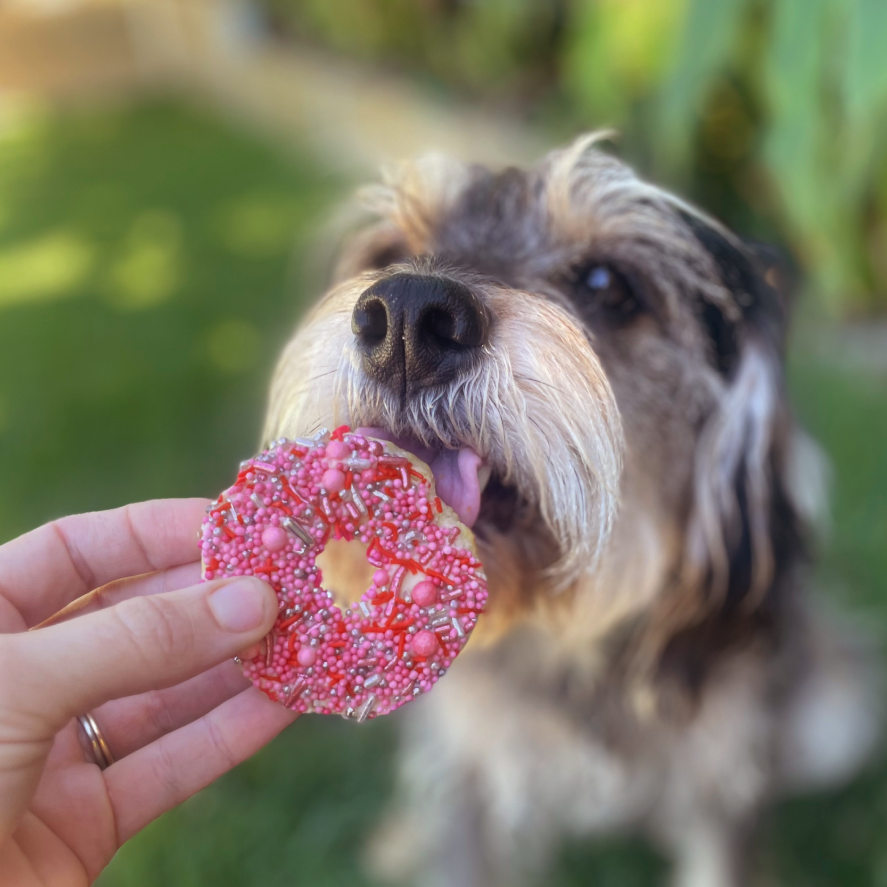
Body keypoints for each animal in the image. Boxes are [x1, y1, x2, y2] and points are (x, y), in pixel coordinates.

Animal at [260, 134, 876, 887]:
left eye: (608, 284)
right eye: (390, 250)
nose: (405, 315)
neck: (566, 641)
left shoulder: (721, 782)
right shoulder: (468, 767)